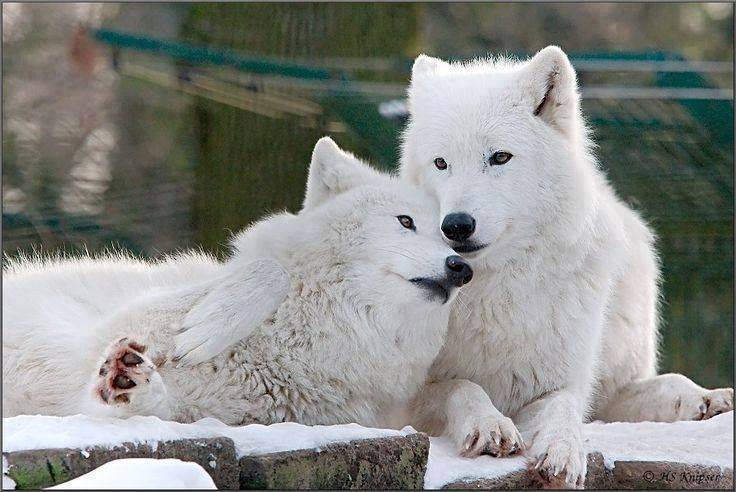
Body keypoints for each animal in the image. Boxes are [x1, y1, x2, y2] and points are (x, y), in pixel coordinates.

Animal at [2, 138, 475, 430]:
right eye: (405, 222)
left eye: (451, 239)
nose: (460, 269)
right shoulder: (106, 330)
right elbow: (270, 270)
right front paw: (206, 330)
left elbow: (152, 409)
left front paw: (130, 385)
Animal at [394, 46, 733, 486]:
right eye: (440, 163)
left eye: (499, 157)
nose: (455, 225)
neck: (499, 289)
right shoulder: (403, 398)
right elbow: (461, 386)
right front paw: (490, 425)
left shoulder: (557, 383)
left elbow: (564, 408)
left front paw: (563, 452)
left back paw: (709, 399)